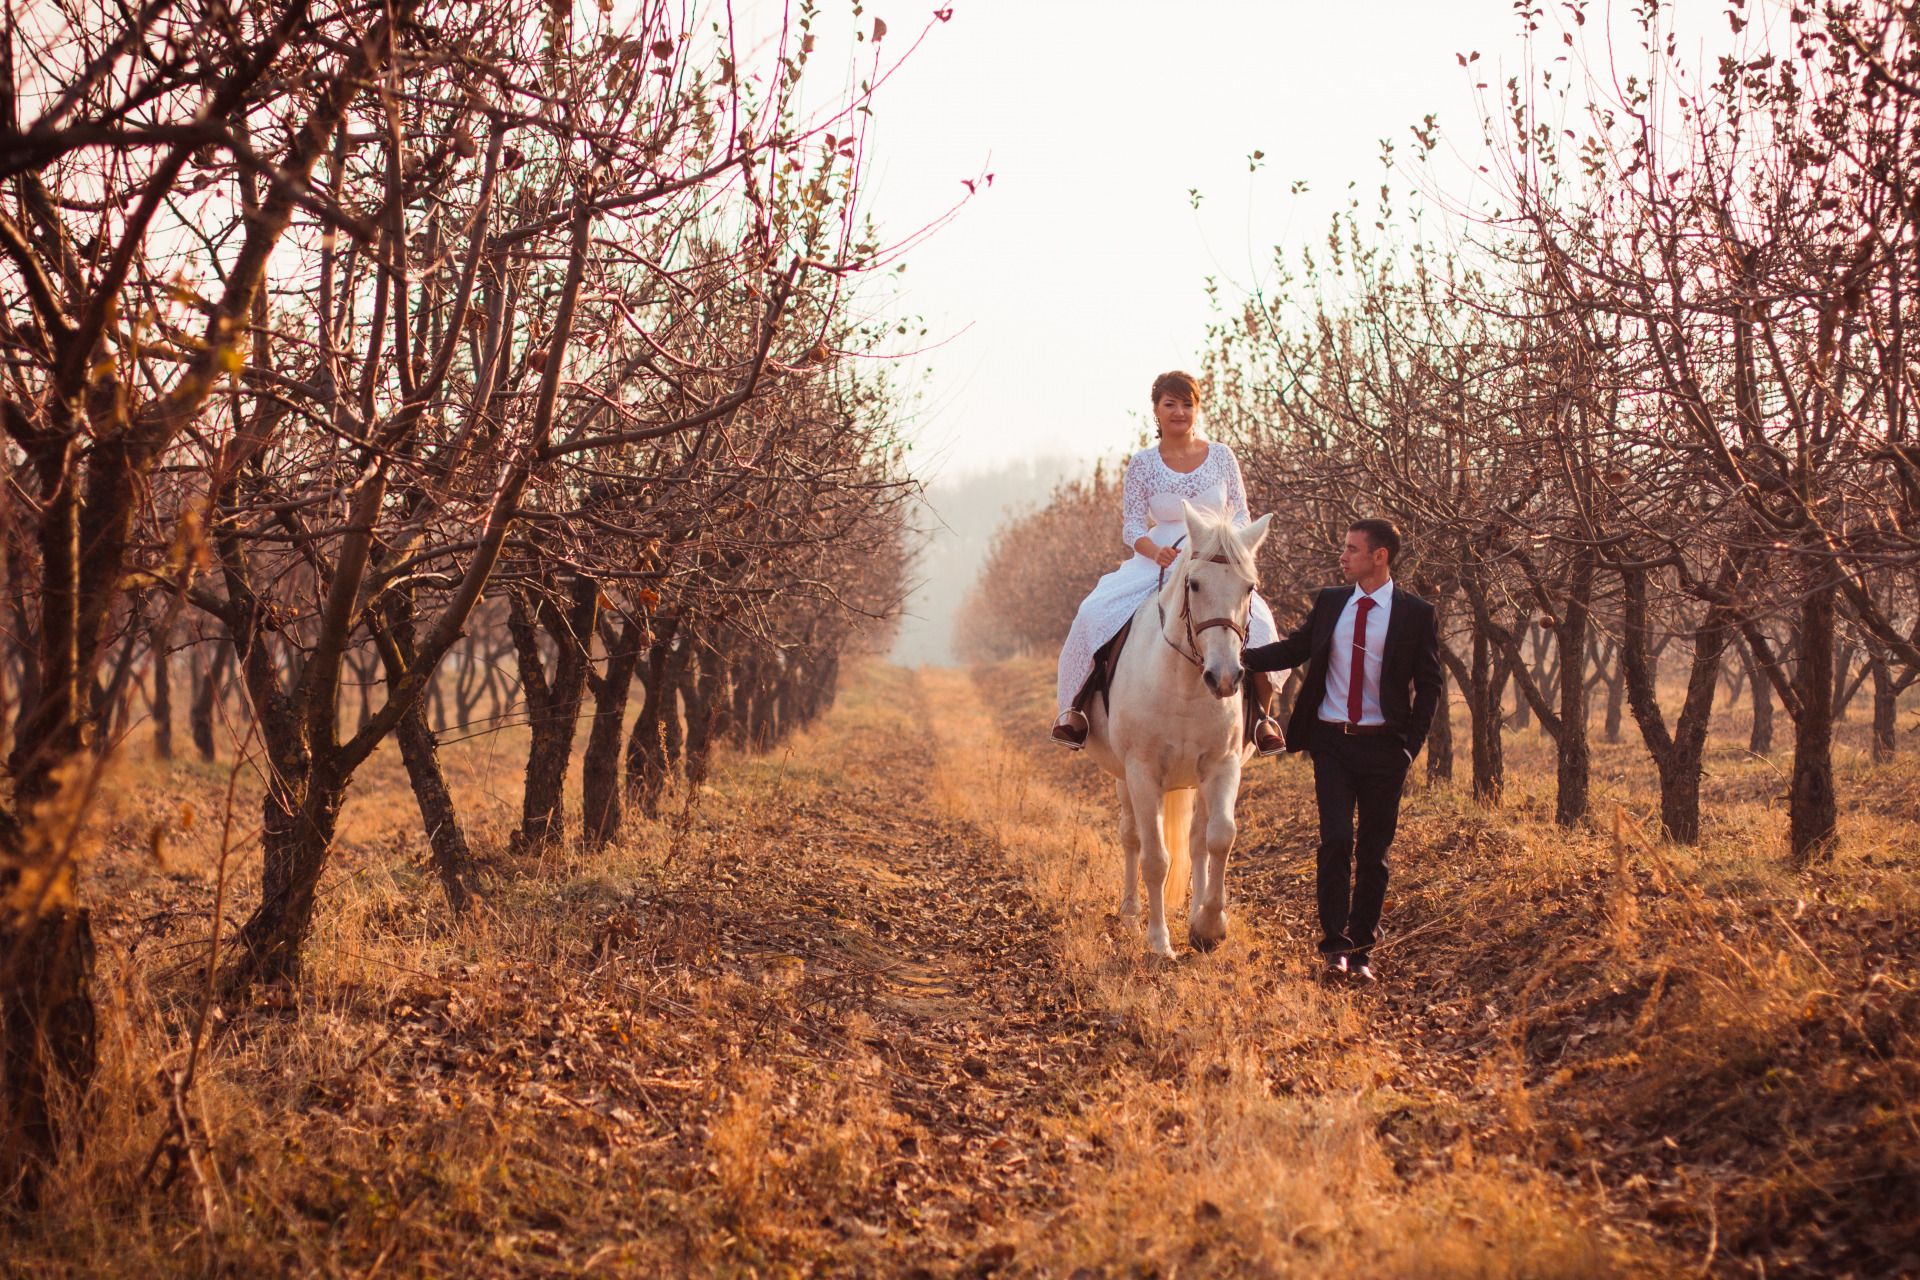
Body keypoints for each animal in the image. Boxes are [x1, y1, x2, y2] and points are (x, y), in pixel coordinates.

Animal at [1090, 506, 1267, 955]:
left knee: (1198, 840)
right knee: (1131, 836)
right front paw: (1158, 942)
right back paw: (1131, 914)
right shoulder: (1142, 771)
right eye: (1194, 583)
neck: (1186, 684)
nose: (1225, 678)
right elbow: (1155, 857)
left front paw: (1209, 926)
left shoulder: (1223, 766)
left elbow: (1220, 837)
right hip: (1124, 778)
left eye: (1249, 587)